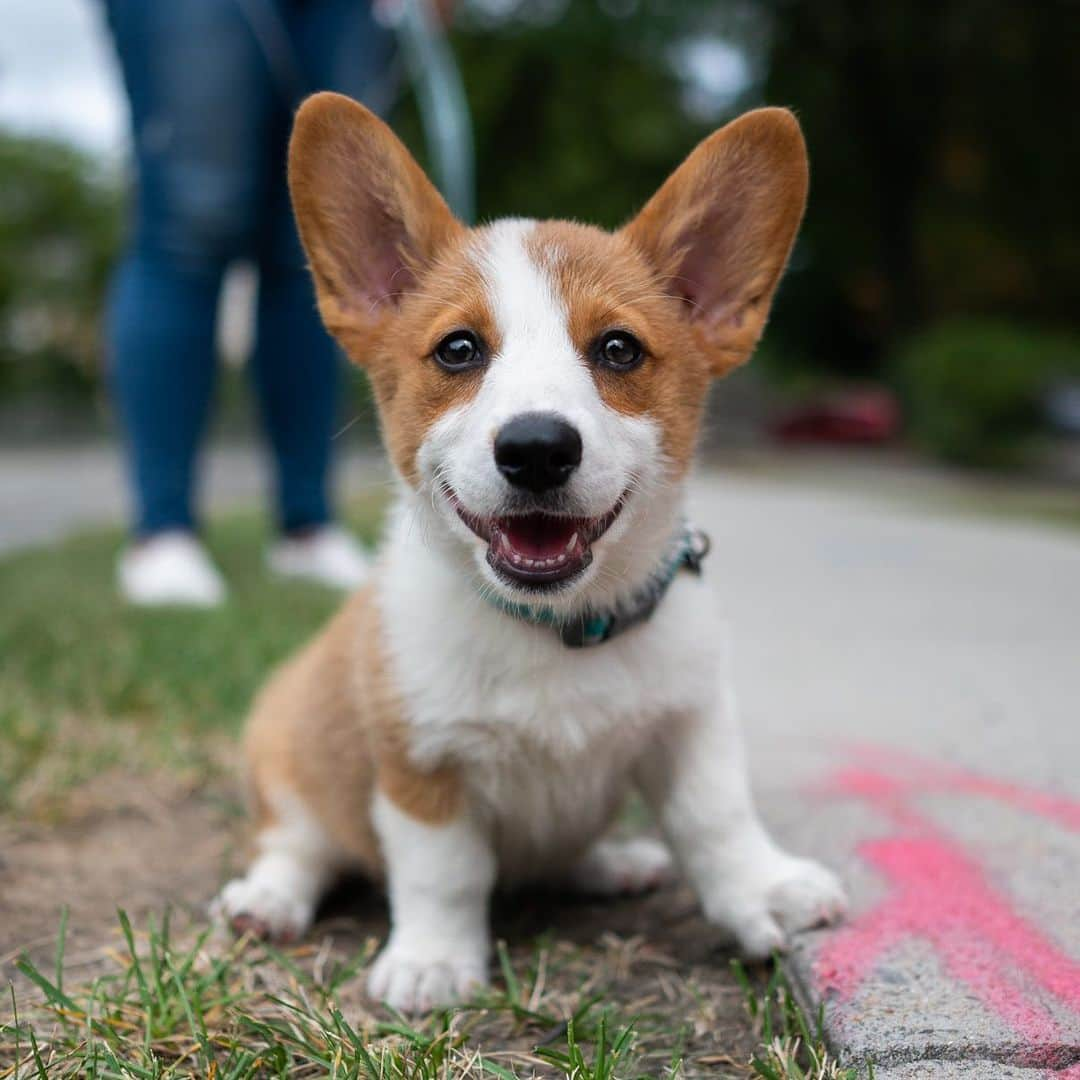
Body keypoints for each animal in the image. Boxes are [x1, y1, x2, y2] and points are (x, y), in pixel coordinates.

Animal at [214, 92, 846, 1010]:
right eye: (458, 349)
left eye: (618, 348)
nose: (539, 448)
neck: (560, 629)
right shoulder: (421, 762)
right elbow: (443, 870)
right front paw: (433, 960)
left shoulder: (691, 725)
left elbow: (716, 817)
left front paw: (764, 889)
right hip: (289, 748)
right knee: (295, 844)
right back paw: (265, 902)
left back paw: (611, 863)